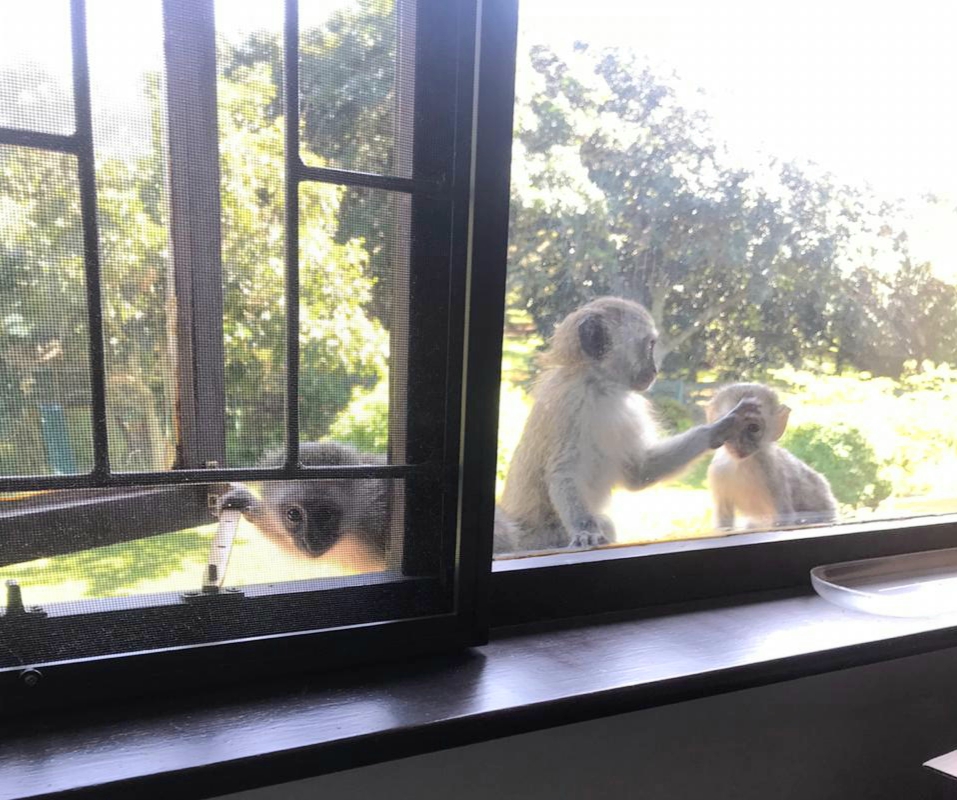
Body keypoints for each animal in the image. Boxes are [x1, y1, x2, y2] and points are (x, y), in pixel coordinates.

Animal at [496, 297, 762, 554]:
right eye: (650, 346)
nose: (655, 370)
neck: (600, 385)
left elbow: (639, 471)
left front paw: (722, 427)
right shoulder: (571, 405)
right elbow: (563, 472)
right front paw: (585, 530)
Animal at [706, 383, 838, 531]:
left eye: (753, 428)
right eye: (727, 427)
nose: (739, 443)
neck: (742, 464)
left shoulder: (773, 474)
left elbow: (784, 517)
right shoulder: (717, 471)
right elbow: (724, 521)